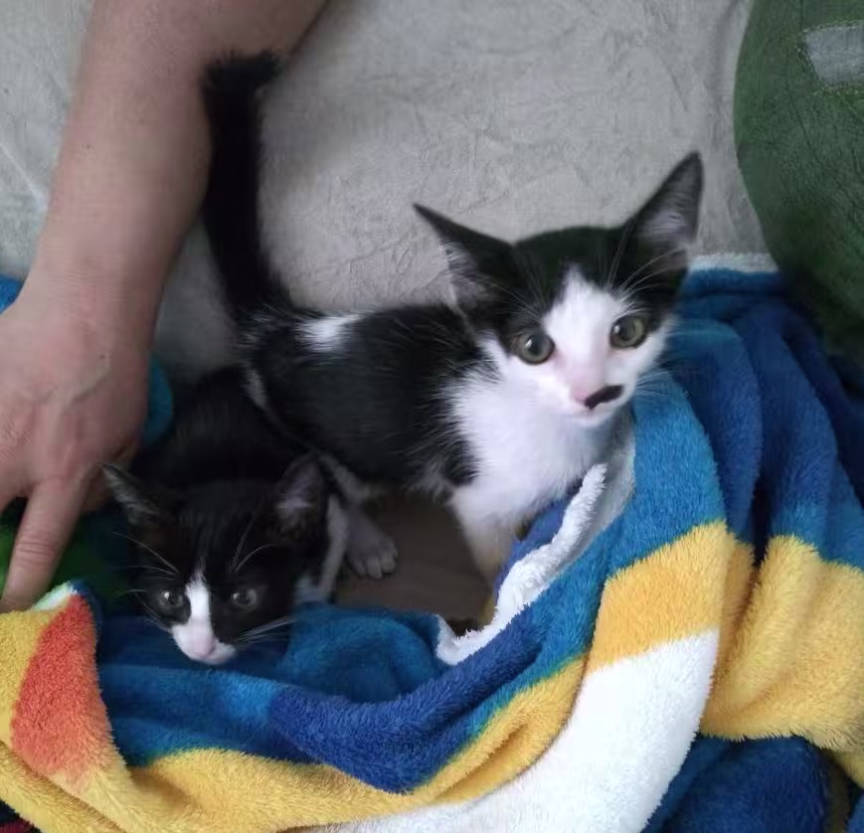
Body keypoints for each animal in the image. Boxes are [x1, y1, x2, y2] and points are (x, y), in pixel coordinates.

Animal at [204, 54, 704, 581]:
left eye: (627, 332)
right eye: (534, 347)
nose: (594, 394)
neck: (547, 420)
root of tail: (278, 326)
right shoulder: (476, 500)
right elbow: (494, 557)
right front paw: (499, 586)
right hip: (320, 443)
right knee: (340, 487)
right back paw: (366, 542)